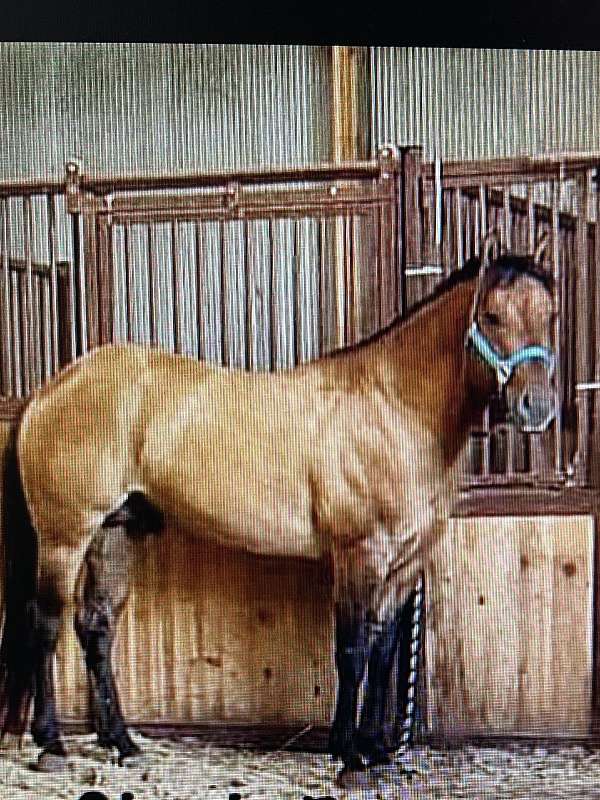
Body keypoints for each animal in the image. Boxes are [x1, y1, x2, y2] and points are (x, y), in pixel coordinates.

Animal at [0, 234, 556, 788]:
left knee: (95, 628)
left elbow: (385, 652)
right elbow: (353, 650)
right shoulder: (360, 554)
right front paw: (349, 758)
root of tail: (51, 389)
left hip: (116, 533)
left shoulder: (405, 562)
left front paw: (378, 753)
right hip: (65, 536)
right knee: (45, 625)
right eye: (491, 316)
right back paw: (51, 746)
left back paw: (123, 743)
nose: (538, 407)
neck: (393, 409)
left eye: (550, 314)